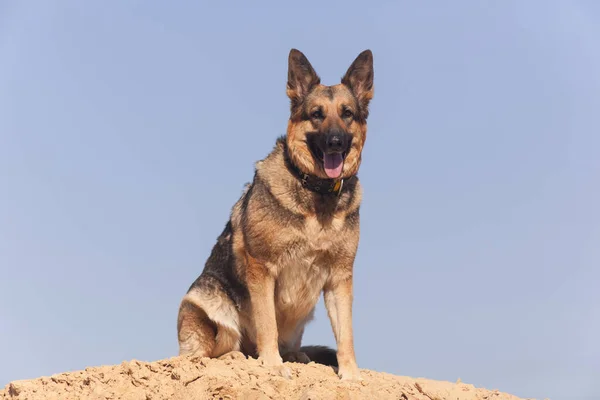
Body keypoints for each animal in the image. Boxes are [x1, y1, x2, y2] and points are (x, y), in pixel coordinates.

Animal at [178, 48, 372, 380]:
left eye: (347, 113)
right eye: (317, 114)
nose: (335, 142)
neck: (316, 192)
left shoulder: (340, 278)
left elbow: (346, 333)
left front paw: (350, 373)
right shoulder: (262, 267)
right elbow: (267, 321)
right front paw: (271, 364)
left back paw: (294, 356)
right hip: (208, 303)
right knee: (209, 353)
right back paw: (237, 357)